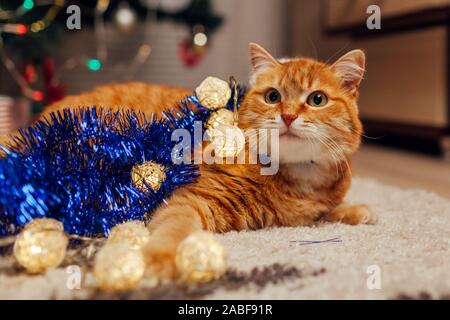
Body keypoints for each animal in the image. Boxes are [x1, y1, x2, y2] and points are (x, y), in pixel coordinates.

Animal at [1, 43, 378, 280]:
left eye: (317, 99)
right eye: (273, 96)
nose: (287, 116)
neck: (295, 181)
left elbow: (325, 212)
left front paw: (354, 210)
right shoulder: (192, 198)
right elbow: (175, 229)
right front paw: (159, 259)